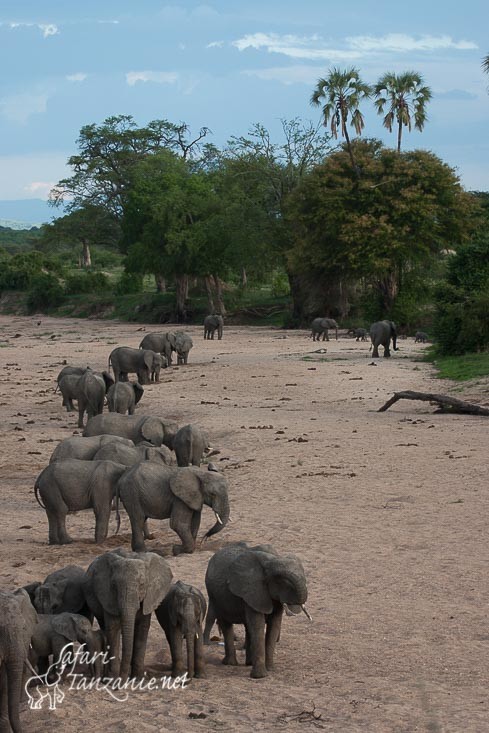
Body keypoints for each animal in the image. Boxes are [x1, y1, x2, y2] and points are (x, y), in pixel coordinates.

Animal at [84, 548, 173, 676]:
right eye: (114, 586)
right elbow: (113, 628)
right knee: (104, 626)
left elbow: (142, 628)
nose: (123, 677)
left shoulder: (148, 598)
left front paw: (137, 677)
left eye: (142, 584)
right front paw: (113, 678)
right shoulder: (108, 596)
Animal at [203, 540, 308, 676]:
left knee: (247, 627)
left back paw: (248, 663)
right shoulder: (252, 591)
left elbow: (274, 626)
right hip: (215, 596)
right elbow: (258, 625)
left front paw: (270, 669)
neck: (272, 559)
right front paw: (260, 676)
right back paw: (230, 663)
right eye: (281, 581)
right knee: (226, 624)